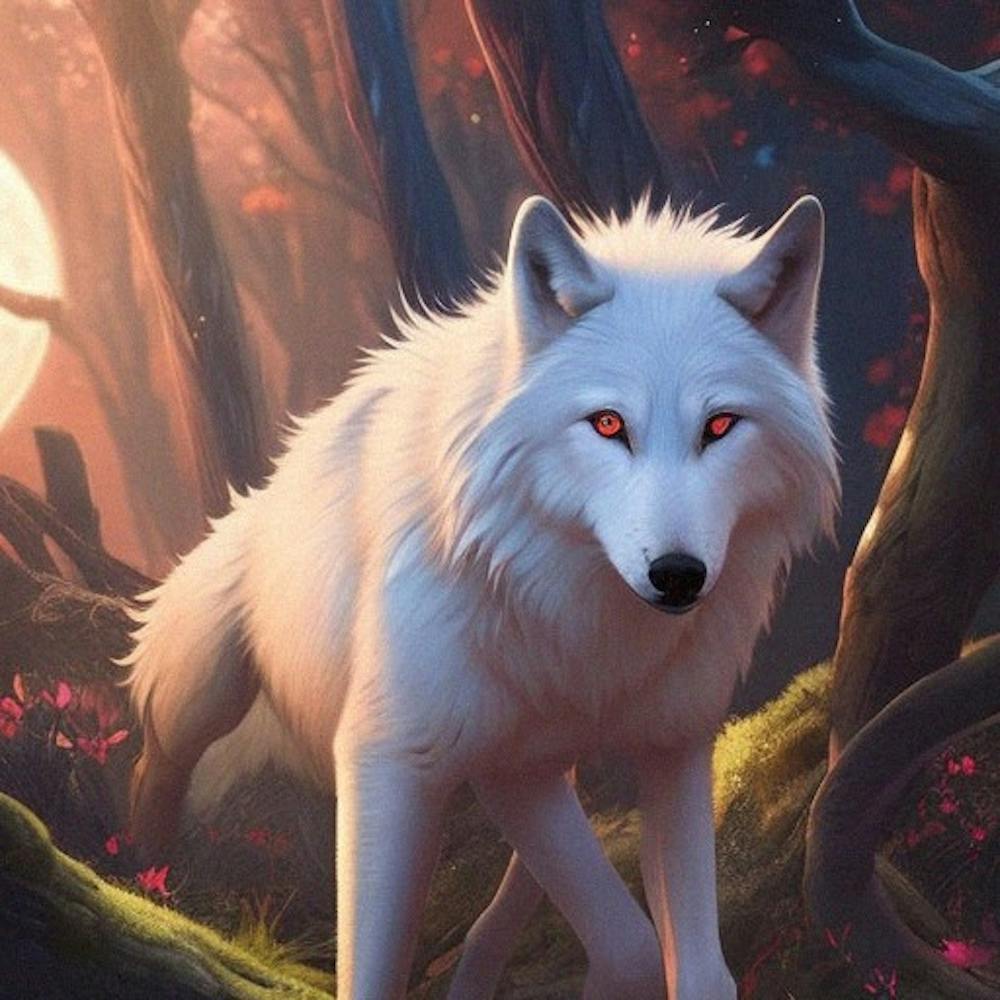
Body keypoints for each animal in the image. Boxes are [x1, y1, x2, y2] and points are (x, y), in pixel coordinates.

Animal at [125, 193, 838, 1000]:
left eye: (720, 425)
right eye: (608, 424)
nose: (678, 574)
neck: (582, 619)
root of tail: (273, 475)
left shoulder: (664, 746)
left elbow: (683, 961)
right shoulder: (410, 753)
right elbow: (382, 961)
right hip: (203, 691)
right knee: (157, 759)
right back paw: (143, 865)